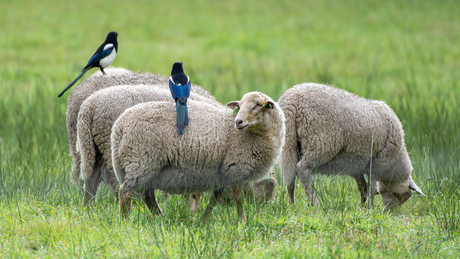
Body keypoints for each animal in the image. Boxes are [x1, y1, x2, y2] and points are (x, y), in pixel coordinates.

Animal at [77, 84, 223, 206]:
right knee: (116, 182)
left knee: (91, 180)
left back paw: (87, 210)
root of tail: (88, 107)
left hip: (93, 146)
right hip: (115, 148)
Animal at [111, 92, 284, 222]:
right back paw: (125, 221)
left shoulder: (222, 174)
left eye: (258, 104)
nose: (238, 121)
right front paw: (242, 221)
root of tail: (119, 126)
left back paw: (161, 218)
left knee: (148, 197)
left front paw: (203, 220)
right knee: (125, 192)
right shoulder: (236, 169)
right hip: (141, 161)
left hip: (147, 167)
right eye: (239, 106)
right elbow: (239, 200)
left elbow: (214, 199)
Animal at [276, 83, 424, 211]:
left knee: (290, 177)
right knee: (302, 169)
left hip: (289, 144)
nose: (390, 212)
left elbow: (363, 187)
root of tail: (292, 101)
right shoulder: (376, 164)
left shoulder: (356, 165)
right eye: (406, 195)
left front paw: (363, 207)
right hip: (320, 143)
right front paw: (370, 208)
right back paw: (315, 203)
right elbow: (371, 188)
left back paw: (291, 205)